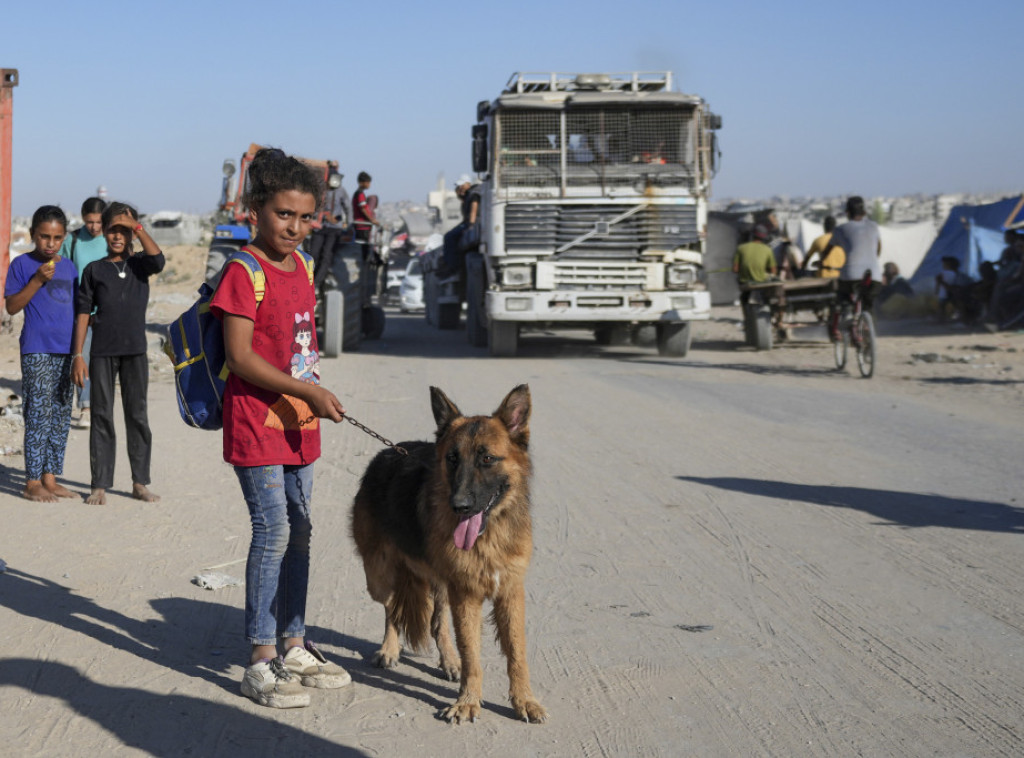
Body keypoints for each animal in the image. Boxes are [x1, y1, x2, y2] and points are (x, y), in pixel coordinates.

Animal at [350, 387, 548, 725]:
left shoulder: (509, 592)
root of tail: (388, 453)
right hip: (381, 577)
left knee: (437, 623)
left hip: (442, 585)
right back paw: (389, 649)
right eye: (452, 459)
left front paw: (524, 700)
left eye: (487, 458)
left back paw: (449, 661)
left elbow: (516, 653)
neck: (488, 536)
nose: (460, 506)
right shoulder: (466, 593)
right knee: (392, 610)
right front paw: (468, 702)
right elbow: (472, 653)